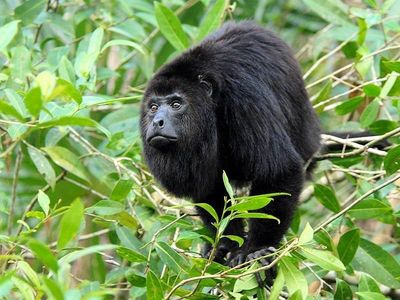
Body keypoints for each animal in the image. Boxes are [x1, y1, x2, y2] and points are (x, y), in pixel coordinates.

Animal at [141, 21, 322, 268]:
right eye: (153, 107)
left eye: (176, 104)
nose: (156, 121)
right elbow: (209, 188)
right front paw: (225, 245)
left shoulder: (243, 97)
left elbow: (279, 169)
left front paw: (257, 249)